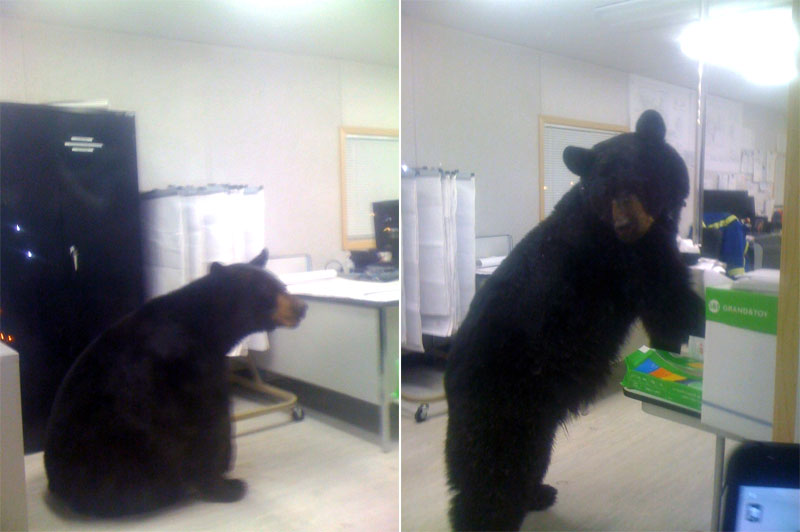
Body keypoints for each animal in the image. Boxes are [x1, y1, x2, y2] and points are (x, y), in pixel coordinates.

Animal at [44, 249, 307, 517]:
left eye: (282, 285)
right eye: (267, 291)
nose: (303, 306)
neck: (208, 327)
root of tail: (57, 488)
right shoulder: (189, 370)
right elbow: (209, 423)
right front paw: (227, 487)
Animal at [444, 110, 705, 531]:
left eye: (635, 181)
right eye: (605, 192)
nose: (624, 226)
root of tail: (449, 372)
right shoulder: (629, 259)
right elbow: (670, 301)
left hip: (534, 415)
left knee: (531, 456)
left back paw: (537, 493)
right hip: (499, 404)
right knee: (491, 473)